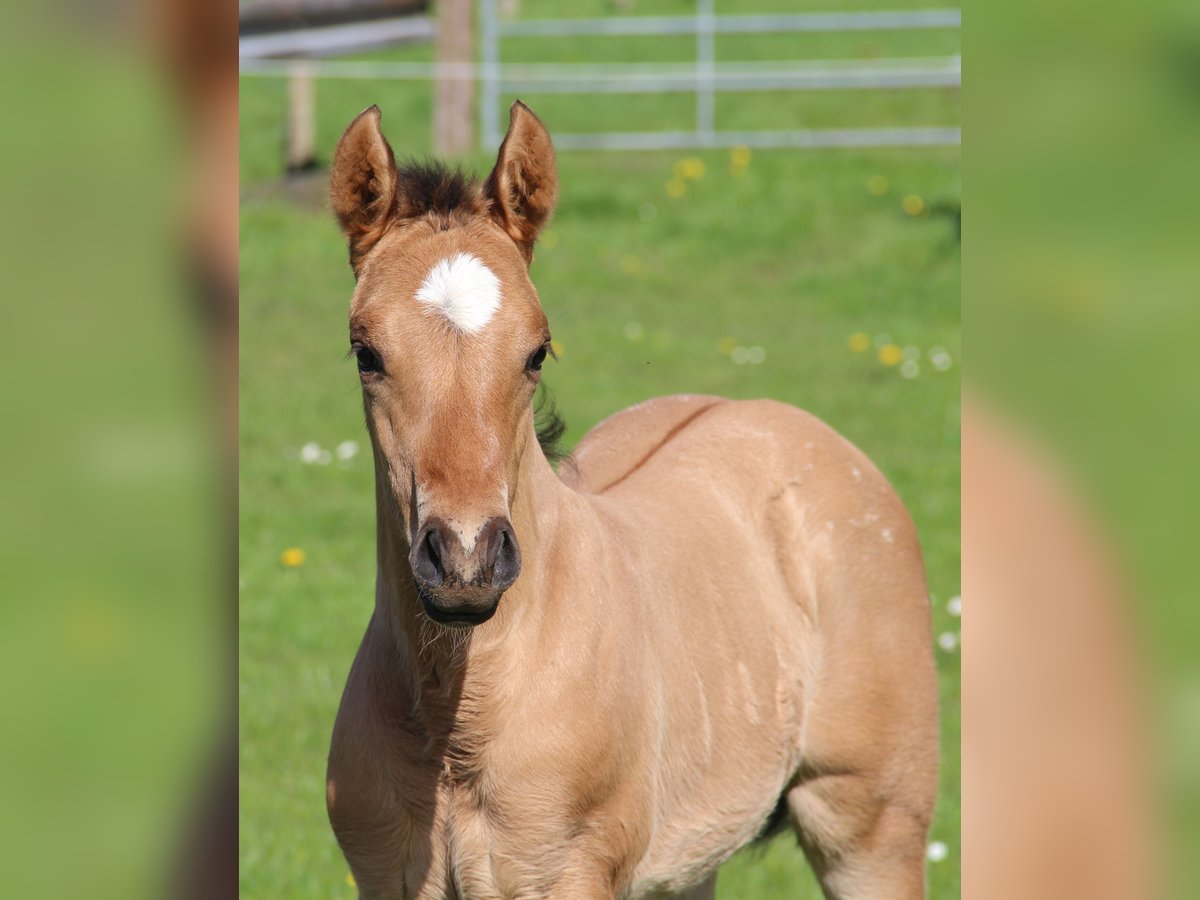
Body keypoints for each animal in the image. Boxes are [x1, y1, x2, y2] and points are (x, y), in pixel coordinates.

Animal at [326, 100, 936, 900]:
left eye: (537, 352)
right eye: (365, 353)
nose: (465, 562)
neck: (461, 720)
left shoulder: (569, 875)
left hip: (871, 828)